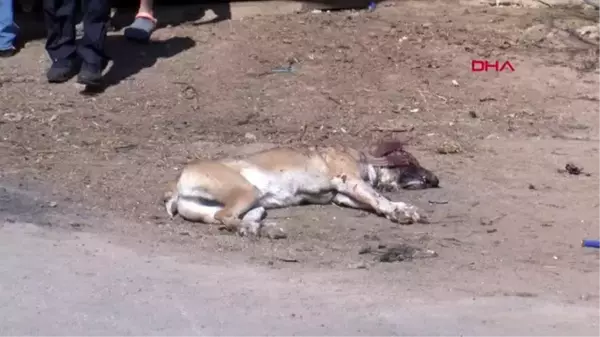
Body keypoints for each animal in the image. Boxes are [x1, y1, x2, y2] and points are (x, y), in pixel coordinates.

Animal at [166, 140, 438, 238]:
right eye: (411, 162)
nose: (435, 180)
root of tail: (177, 186)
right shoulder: (349, 180)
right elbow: (379, 198)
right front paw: (402, 211)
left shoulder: (344, 196)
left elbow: (374, 200)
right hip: (247, 190)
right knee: (225, 216)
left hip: (252, 204)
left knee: (227, 218)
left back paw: (260, 228)